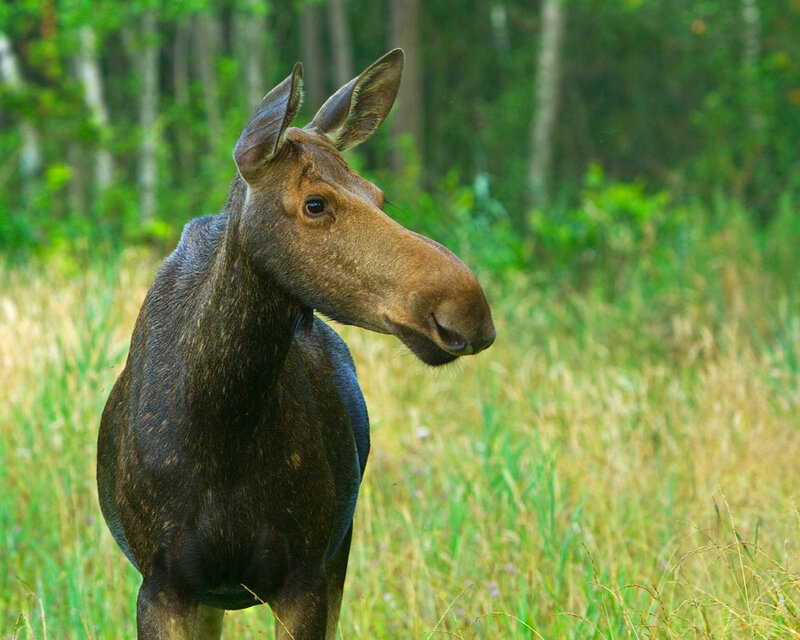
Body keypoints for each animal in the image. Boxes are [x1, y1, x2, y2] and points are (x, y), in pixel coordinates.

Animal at [97, 49, 495, 639]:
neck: (223, 418)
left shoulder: (305, 575)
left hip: (338, 554)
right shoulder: (164, 584)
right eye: (314, 203)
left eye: (379, 196)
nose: (468, 307)